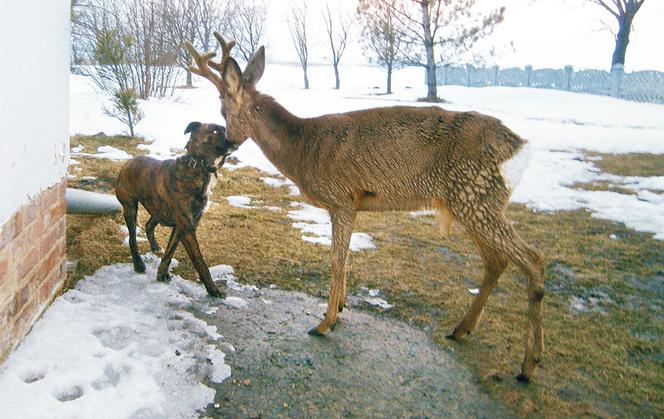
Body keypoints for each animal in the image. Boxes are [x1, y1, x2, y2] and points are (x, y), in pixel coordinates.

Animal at [115, 121, 237, 298]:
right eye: (214, 131)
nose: (236, 136)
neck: (199, 166)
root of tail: (127, 162)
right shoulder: (186, 227)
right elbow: (199, 261)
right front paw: (213, 289)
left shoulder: (183, 225)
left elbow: (170, 251)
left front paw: (161, 274)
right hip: (130, 207)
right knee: (132, 238)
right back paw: (138, 264)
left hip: (158, 209)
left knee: (149, 225)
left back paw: (154, 247)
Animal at [185, 35, 544, 384]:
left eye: (222, 109)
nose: (229, 142)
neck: (301, 150)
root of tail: (520, 146)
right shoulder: (352, 203)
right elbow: (345, 259)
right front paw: (340, 308)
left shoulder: (342, 198)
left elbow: (336, 259)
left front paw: (325, 321)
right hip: (471, 201)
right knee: (497, 260)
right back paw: (461, 330)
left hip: (476, 193)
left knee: (534, 260)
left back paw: (529, 364)